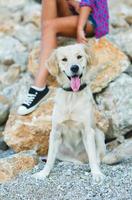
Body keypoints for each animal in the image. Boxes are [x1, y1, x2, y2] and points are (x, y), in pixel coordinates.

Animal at [33, 43, 106, 183]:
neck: (72, 95)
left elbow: (93, 156)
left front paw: (97, 173)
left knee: (96, 157)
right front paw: (44, 173)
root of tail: (80, 159)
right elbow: (50, 159)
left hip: (99, 134)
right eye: (64, 59)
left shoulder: (88, 131)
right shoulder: (55, 132)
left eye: (79, 57)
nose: (74, 67)